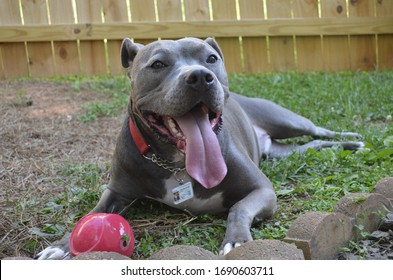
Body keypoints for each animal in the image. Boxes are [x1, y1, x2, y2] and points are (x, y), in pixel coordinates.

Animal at [36, 37, 362, 260]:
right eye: (157, 64)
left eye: (211, 58)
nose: (200, 76)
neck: (178, 162)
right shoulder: (116, 192)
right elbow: (91, 214)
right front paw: (61, 245)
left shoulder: (262, 190)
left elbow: (239, 207)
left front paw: (237, 241)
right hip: (285, 150)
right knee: (314, 144)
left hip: (286, 120)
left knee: (319, 130)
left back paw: (354, 138)